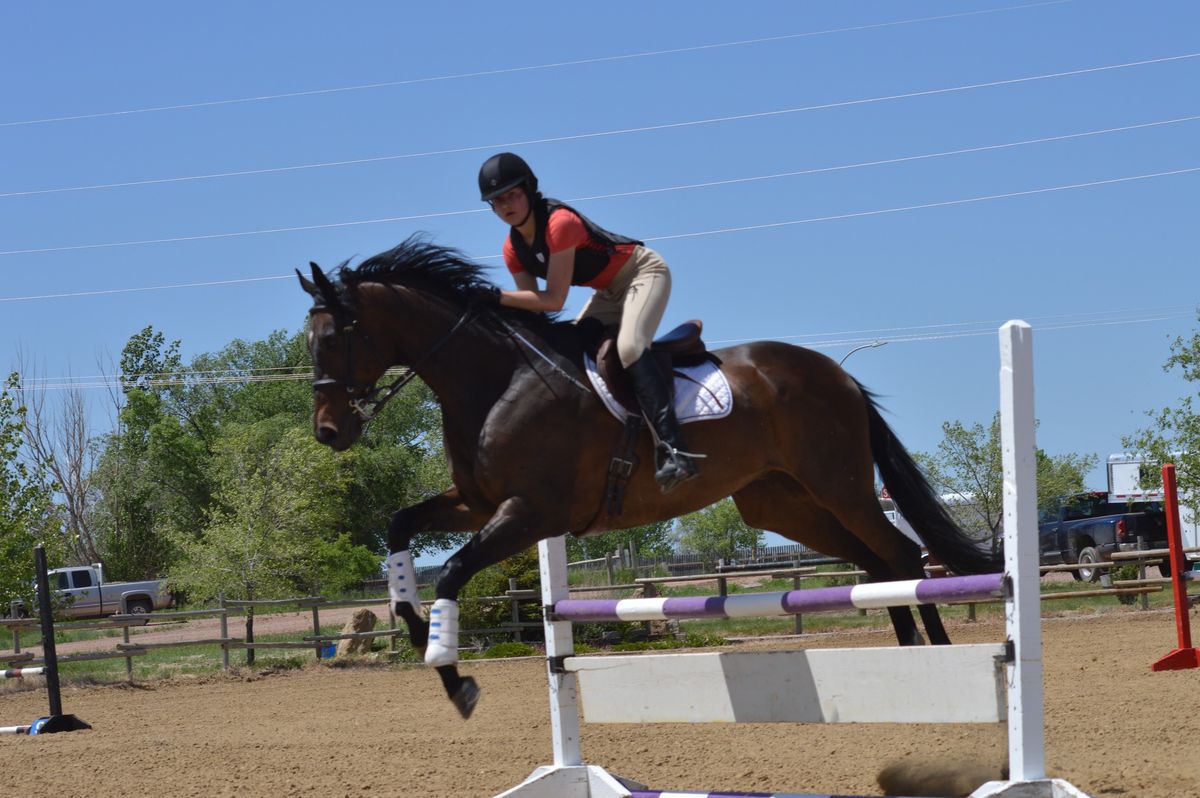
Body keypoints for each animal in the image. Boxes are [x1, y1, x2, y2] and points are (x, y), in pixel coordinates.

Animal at [297, 235, 993, 715]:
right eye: (309, 343)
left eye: (335, 338)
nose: (329, 432)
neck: (495, 380)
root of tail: (838, 374)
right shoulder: (477, 502)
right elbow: (400, 529)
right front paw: (420, 636)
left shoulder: (530, 512)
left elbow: (455, 570)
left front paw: (453, 673)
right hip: (781, 504)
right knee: (877, 565)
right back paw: (909, 662)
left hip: (839, 485)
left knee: (899, 554)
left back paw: (940, 664)